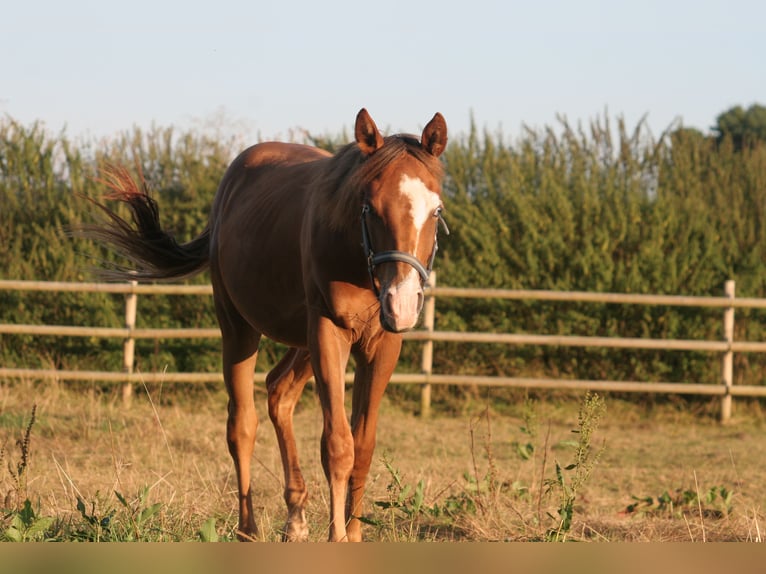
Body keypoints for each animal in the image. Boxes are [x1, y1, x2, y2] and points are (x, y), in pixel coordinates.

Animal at [85, 109, 449, 542]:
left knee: (279, 392)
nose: (401, 302)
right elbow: (337, 445)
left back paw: (295, 517)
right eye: (370, 207)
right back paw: (249, 529)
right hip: (239, 327)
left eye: (436, 211)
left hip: (302, 342)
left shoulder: (381, 345)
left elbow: (363, 445)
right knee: (242, 424)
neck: (355, 256)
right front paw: (337, 537)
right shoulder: (328, 333)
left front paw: (353, 534)